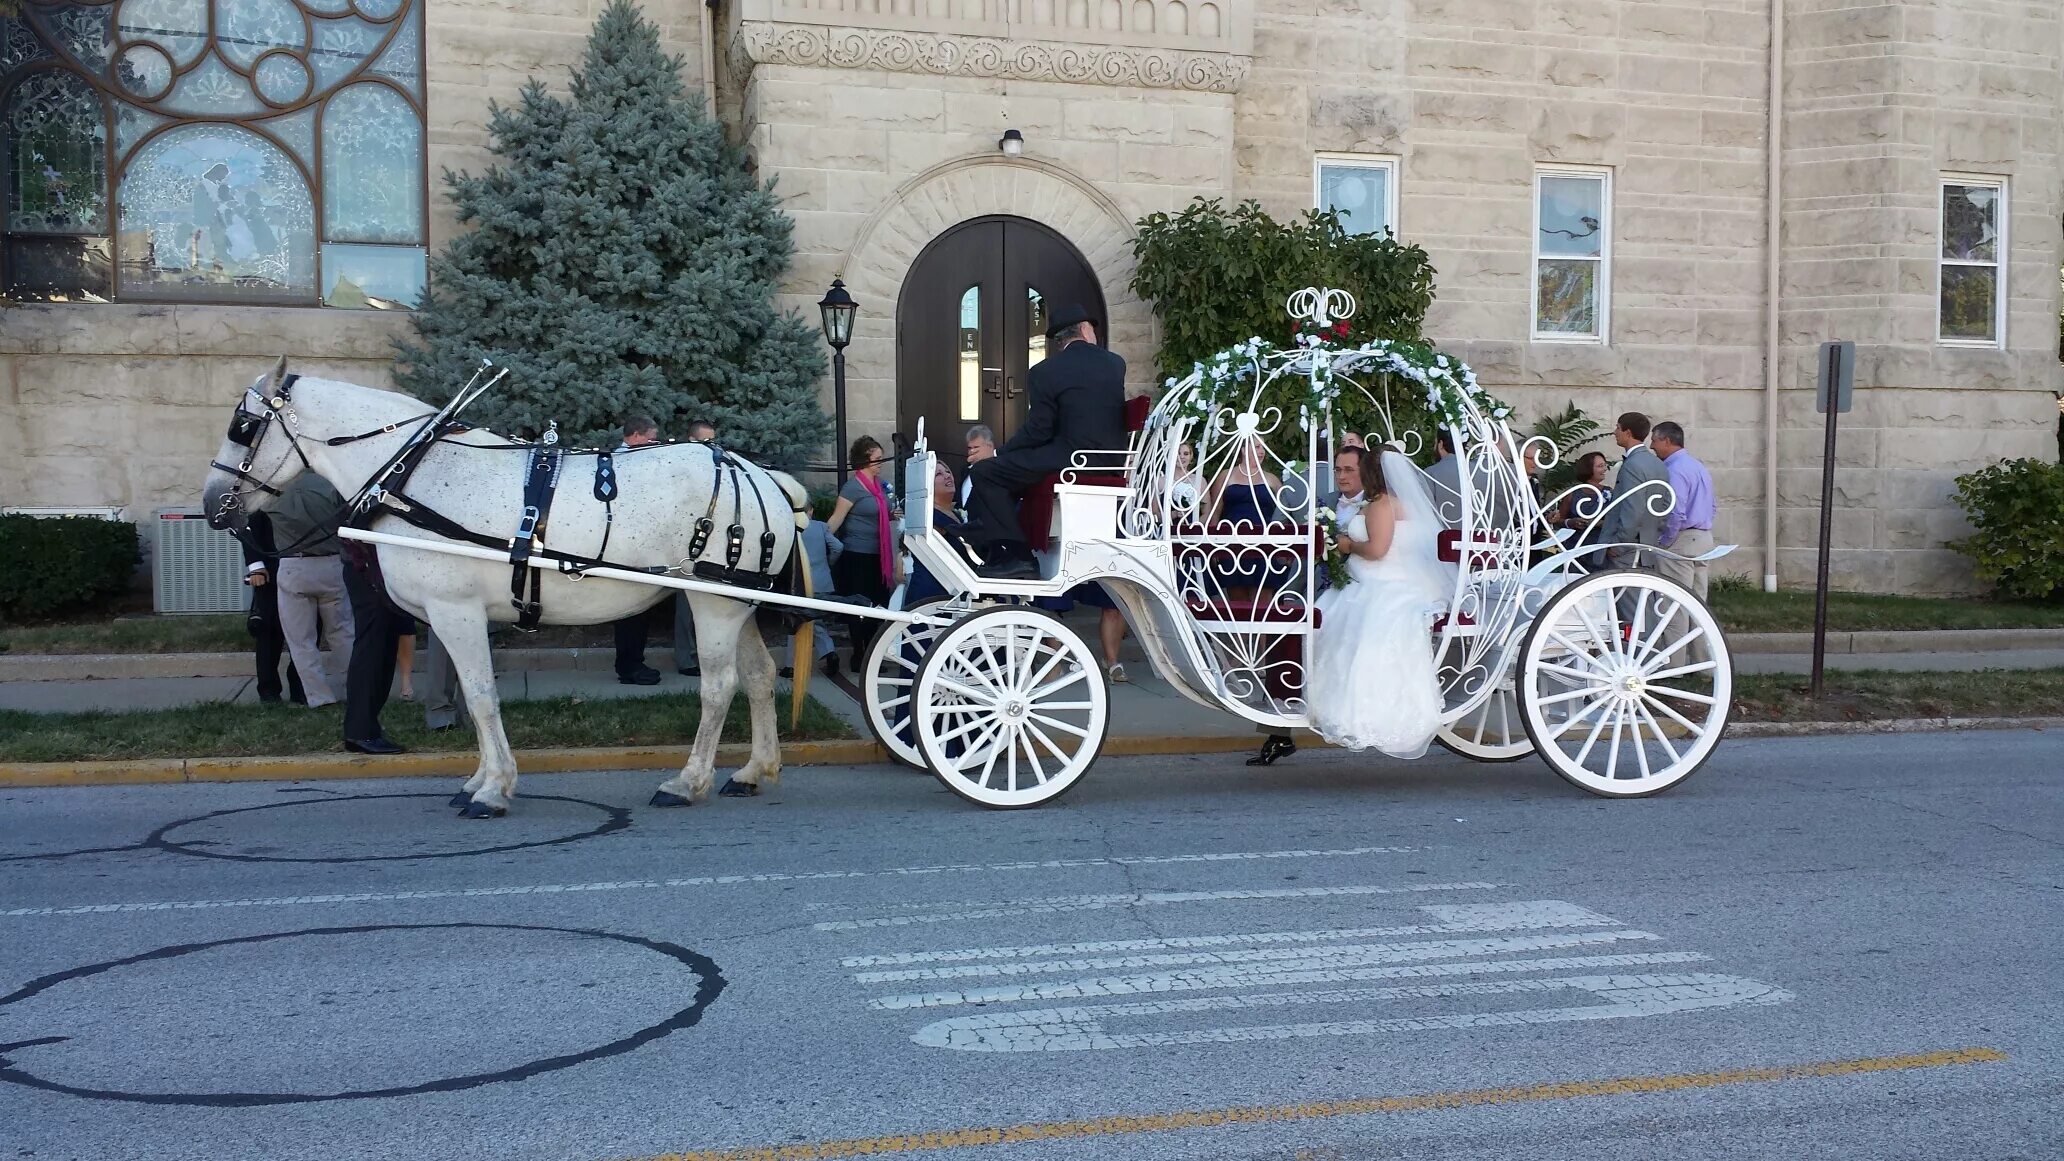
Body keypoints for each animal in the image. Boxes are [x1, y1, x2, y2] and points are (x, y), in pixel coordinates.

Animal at [197, 367, 800, 813]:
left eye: (243, 424)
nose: (211, 503)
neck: (409, 474)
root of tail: (764, 477)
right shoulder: (461, 616)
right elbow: (474, 695)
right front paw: (481, 778)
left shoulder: (454, 610)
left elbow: (483, 695)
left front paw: (492, 789)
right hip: (739, 602)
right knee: (759, 677)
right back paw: (753, 771)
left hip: (712, 600)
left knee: (719, 686)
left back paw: (687, 781)